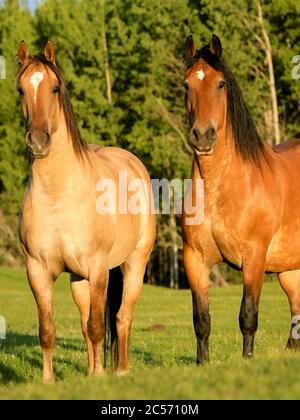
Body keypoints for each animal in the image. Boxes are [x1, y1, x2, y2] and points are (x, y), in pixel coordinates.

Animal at [17, 41, 156, 382]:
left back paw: (120, 371)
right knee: (85, 322)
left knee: (121, 317)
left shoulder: (98, 268)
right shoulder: (37, 271)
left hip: (133, 265)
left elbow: (97, 327)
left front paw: (99, 378)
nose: (38, 141)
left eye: (54, 87)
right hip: (78, 279)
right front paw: (48, 381)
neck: (58, 195)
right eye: (21, 90)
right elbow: (48, 330)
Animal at [182, 34, 300, 362]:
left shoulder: (254, 258)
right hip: (289, 270)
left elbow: (248, 315)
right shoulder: (194, 259)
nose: (203, 135)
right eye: (186, 85)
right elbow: (201, 319)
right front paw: (202, 363)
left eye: (221, 83)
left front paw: (247, 360)